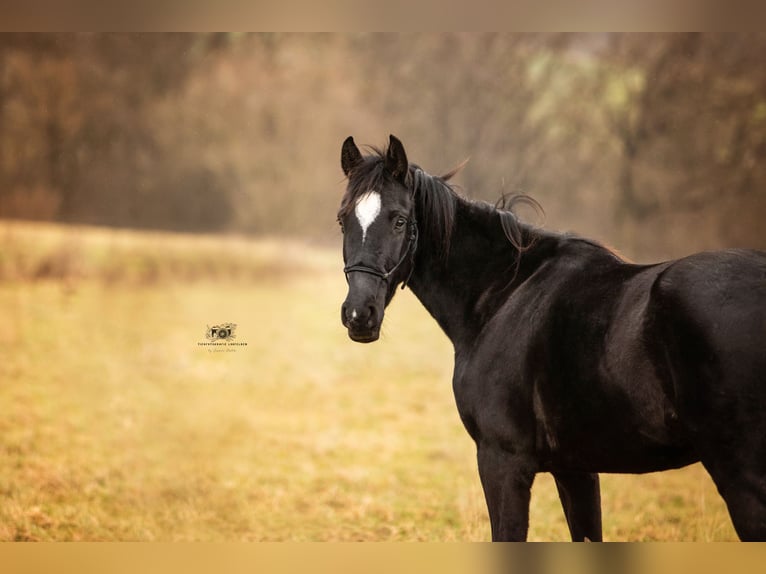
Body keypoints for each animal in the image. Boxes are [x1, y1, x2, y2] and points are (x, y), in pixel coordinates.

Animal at [338, 136, 766, 544]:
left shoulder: (503, 461)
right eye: (343, 220)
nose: (359, 315)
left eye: (399, 220)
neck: (503, 293)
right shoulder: (575, 468)